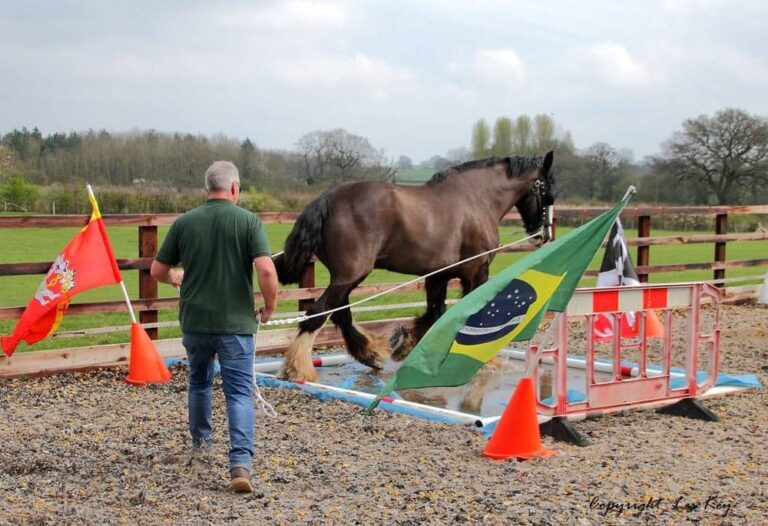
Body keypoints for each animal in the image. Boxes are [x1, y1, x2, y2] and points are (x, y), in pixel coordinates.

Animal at [273, 152, 556, 382]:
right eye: (547, 189)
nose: (543, 234)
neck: (476, 198)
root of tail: (326, 200)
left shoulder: (438, 276)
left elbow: (435, 314)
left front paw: (405, 347)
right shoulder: (476, 271)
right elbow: (473, 316)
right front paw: (488, 360)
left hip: (346, 277)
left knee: (340, 313)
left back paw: (370, 354)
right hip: (351, 274)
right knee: (320, 312)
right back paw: (299, 368)